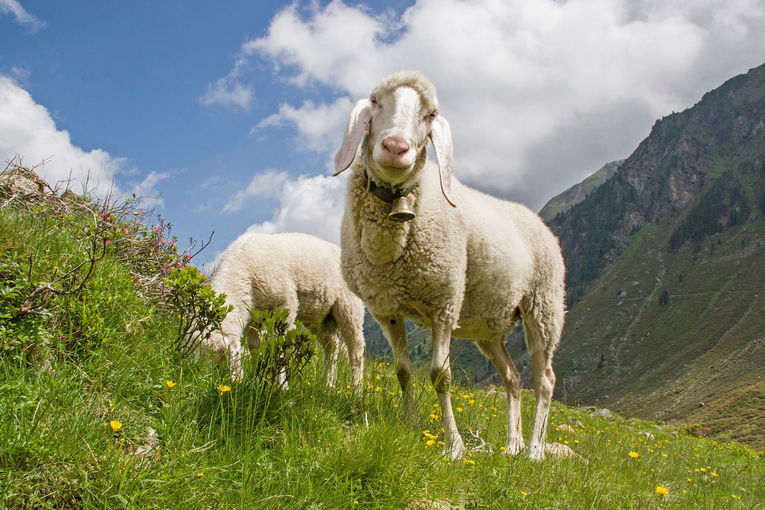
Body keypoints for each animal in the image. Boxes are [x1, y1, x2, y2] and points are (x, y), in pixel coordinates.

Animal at [203, 233, 364, 388]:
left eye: (216, 354)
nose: (203, 376)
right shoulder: (252, 320)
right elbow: (254, 349)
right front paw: (256, 380)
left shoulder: (285, 306)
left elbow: (278, 347)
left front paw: (281, 386)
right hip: (319, 316)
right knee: (332, 346)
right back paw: (328, 385)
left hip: (349, 306)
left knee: (356, 347)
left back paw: (356, 389)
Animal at [332, 71, 564, 462]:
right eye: (375, 100)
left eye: (431, 114)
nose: (395, 147)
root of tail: (540, 222)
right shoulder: (386, 308)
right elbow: (403, 371)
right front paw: (410, 425)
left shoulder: (444, 301)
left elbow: (441, 375)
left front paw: (453, 446)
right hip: (489, 325)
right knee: (513, 378)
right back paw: (512, 445)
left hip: (544, 305)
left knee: (545, 380)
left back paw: (534, 449)